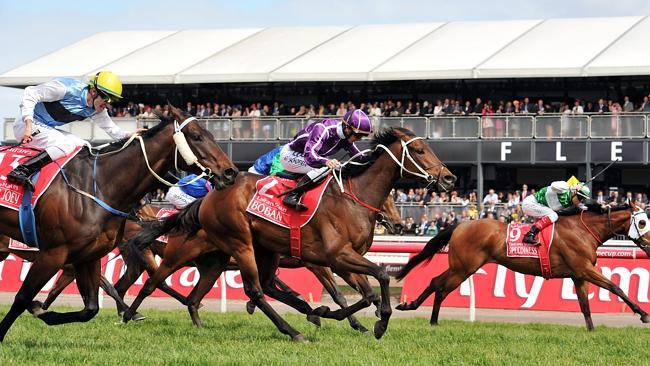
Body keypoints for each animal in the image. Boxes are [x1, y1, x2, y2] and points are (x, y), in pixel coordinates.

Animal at [0, 104, 235, 342]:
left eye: (212, 134)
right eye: (196, 136)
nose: (230, 172)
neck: (97, 186)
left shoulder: (87, 255)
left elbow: (90, 308)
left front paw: (41, 309)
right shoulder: (53, 253)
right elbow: (22, 297)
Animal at [124, 127, 454, 342]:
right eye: (420, 150)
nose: (449, 178)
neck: (352, 198)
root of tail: (207, 199)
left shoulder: (342, 259)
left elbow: (366, 291)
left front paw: (346, 317)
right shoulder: (333, 257)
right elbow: (378, 278)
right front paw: (377, 322)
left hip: (236, 257)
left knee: (218, 293)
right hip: (232, 245)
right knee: (246, 289)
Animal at [392, 202, 648, 330]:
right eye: (644, 222)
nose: (649, 243)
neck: (582, 229)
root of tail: (461, 224)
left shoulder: (579, 274)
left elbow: (585, 305)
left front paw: (592, 331)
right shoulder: (584, 268)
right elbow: (615, 287)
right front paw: (643, 314)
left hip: (461, 267)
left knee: (437, 283)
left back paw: (425, 315)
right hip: (463, 268)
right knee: (440, 285)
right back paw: (420, 311)